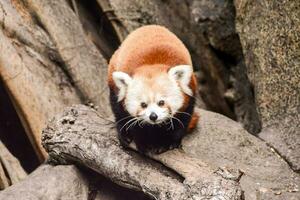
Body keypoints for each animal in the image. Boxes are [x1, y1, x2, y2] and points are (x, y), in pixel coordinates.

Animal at [107, 25, 197, 153]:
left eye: (161, 102)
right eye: (143, 104)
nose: (153, 116)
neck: (152, 65)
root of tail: (149, 26)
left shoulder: (189, 94)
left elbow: (181, 122)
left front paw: (168, 142)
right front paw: (144, 142)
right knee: (118, 111)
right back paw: (125, 134)